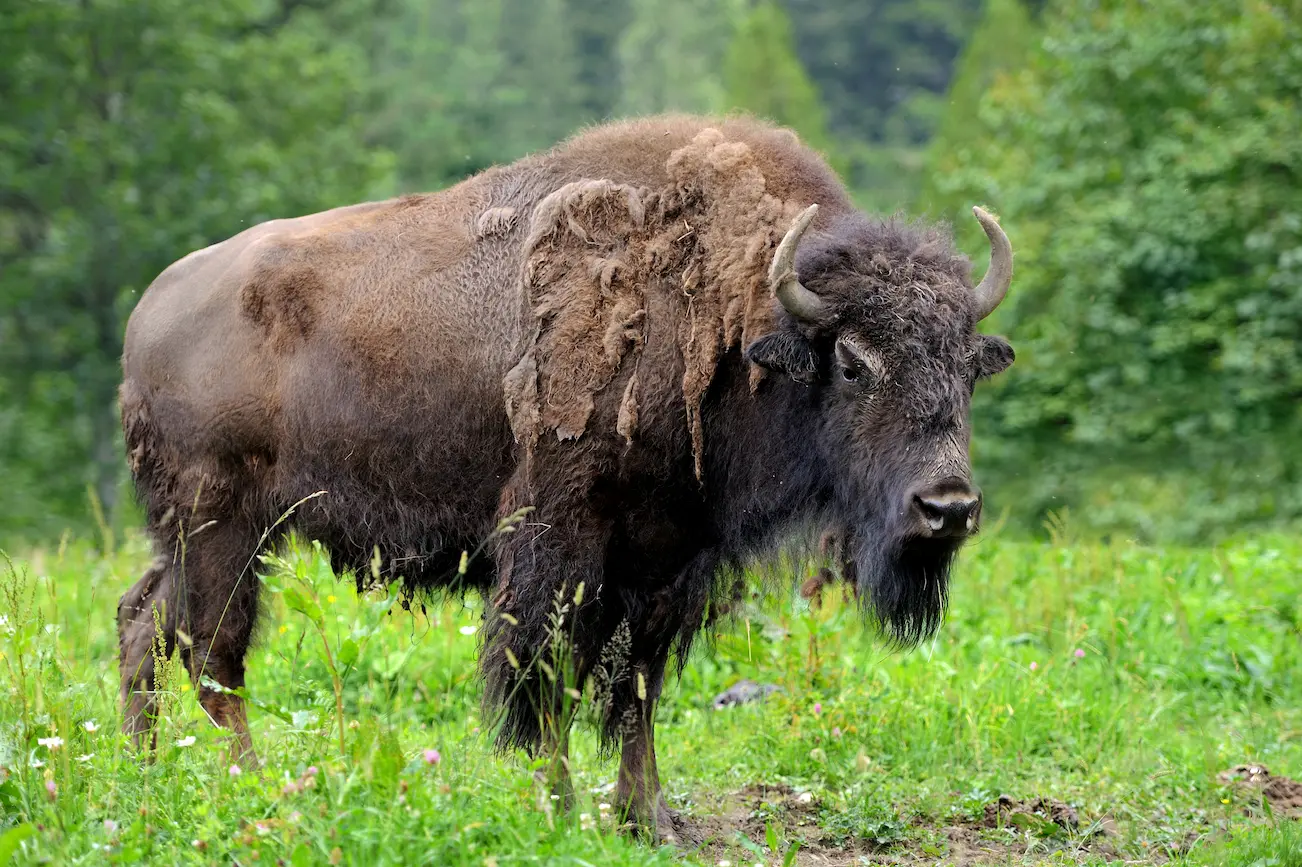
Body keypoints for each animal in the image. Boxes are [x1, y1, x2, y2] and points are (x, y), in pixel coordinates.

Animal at [117, 111, 1015, 838]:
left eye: (970, 365)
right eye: (855, 364)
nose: (947, 507)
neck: (732, 316)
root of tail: (151, 306)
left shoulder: (668, 558)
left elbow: (637, 685)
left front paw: (650, 817)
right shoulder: (563, 541)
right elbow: (544, 674)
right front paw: (557, 805)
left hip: (197, 535)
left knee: (143, 622)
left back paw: (143, 778)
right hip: (226, 525)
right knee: (213, 652)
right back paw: (260, 791)